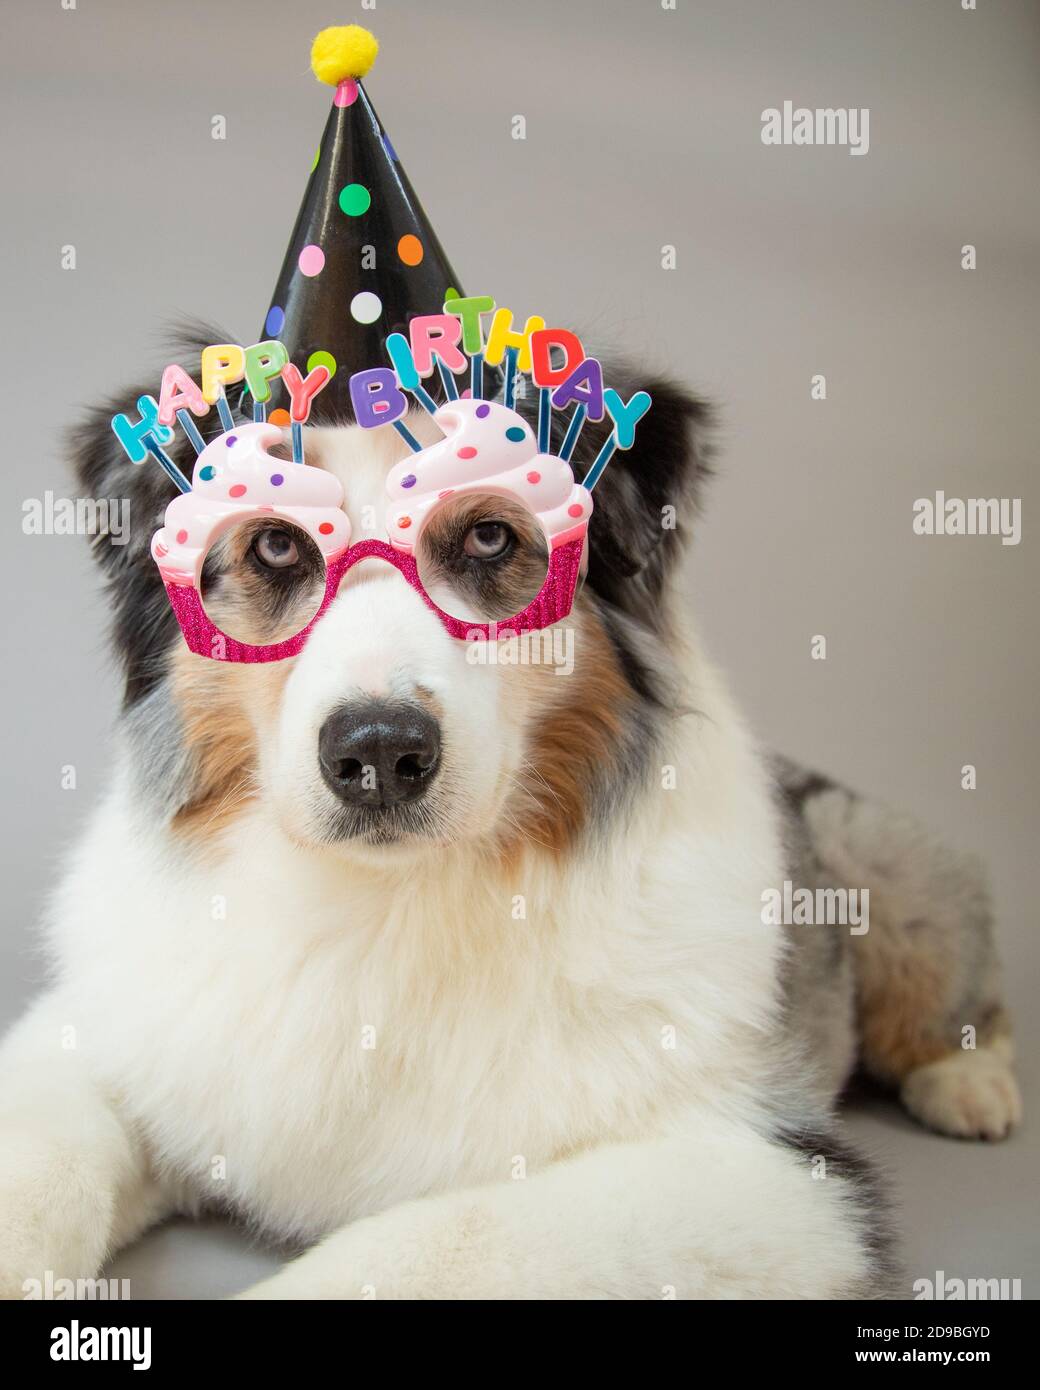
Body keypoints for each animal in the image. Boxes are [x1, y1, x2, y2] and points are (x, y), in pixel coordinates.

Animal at [0, 330, 1023, 1295]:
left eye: (490, 539)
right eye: (278, 546)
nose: (379, 754)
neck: (390, 905)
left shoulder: (772, 1176)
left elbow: (441, 1242)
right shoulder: (103, 1036)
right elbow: (43, 1154)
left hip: (874, 853)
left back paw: (971, 1082)